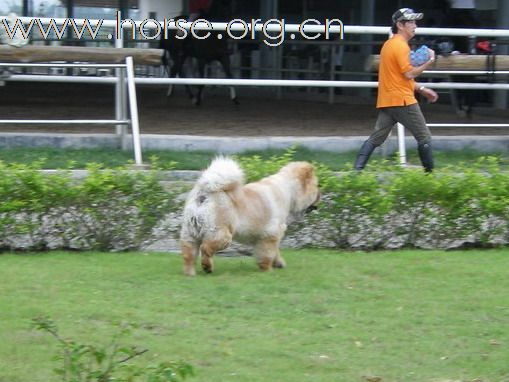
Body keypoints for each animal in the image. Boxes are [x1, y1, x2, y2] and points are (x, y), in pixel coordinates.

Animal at [181, 157, 320, 276]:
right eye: (317, 186)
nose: (320, 194)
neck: (289, 191)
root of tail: (205, 194)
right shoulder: (271, 234)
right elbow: (267, 254)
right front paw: (267, 270)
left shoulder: (268, 237)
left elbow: (275, 251)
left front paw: (279, 263)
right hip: (221, 234)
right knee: (205, 249)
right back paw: (207, 267)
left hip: (190, 233)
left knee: (189, 255)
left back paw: (190, 273)